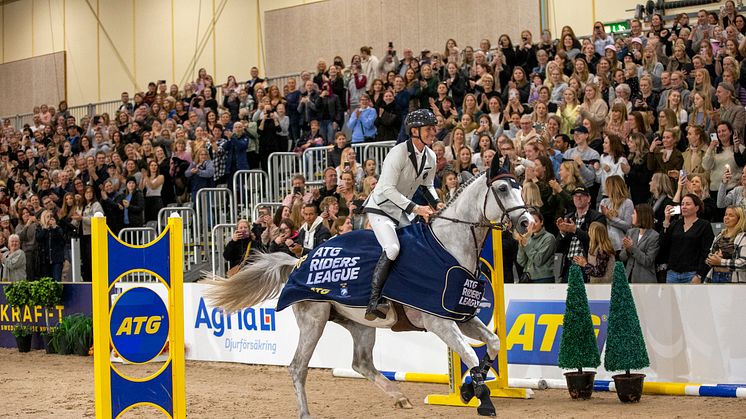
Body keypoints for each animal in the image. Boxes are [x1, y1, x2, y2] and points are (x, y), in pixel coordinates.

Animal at [206, 169, 532, 418]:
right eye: (503, 188)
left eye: (519, 186)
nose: (527, 222)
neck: (448, 247)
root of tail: (301, 260)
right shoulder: (437, 321)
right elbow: (471, 355)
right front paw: (483, 400)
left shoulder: (460, 316)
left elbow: (492, 344)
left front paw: (467, 390)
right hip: (314, 320)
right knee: (298, 367)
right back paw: (305, 413)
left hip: (360, 323)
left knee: (360, 363)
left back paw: (399, 396)